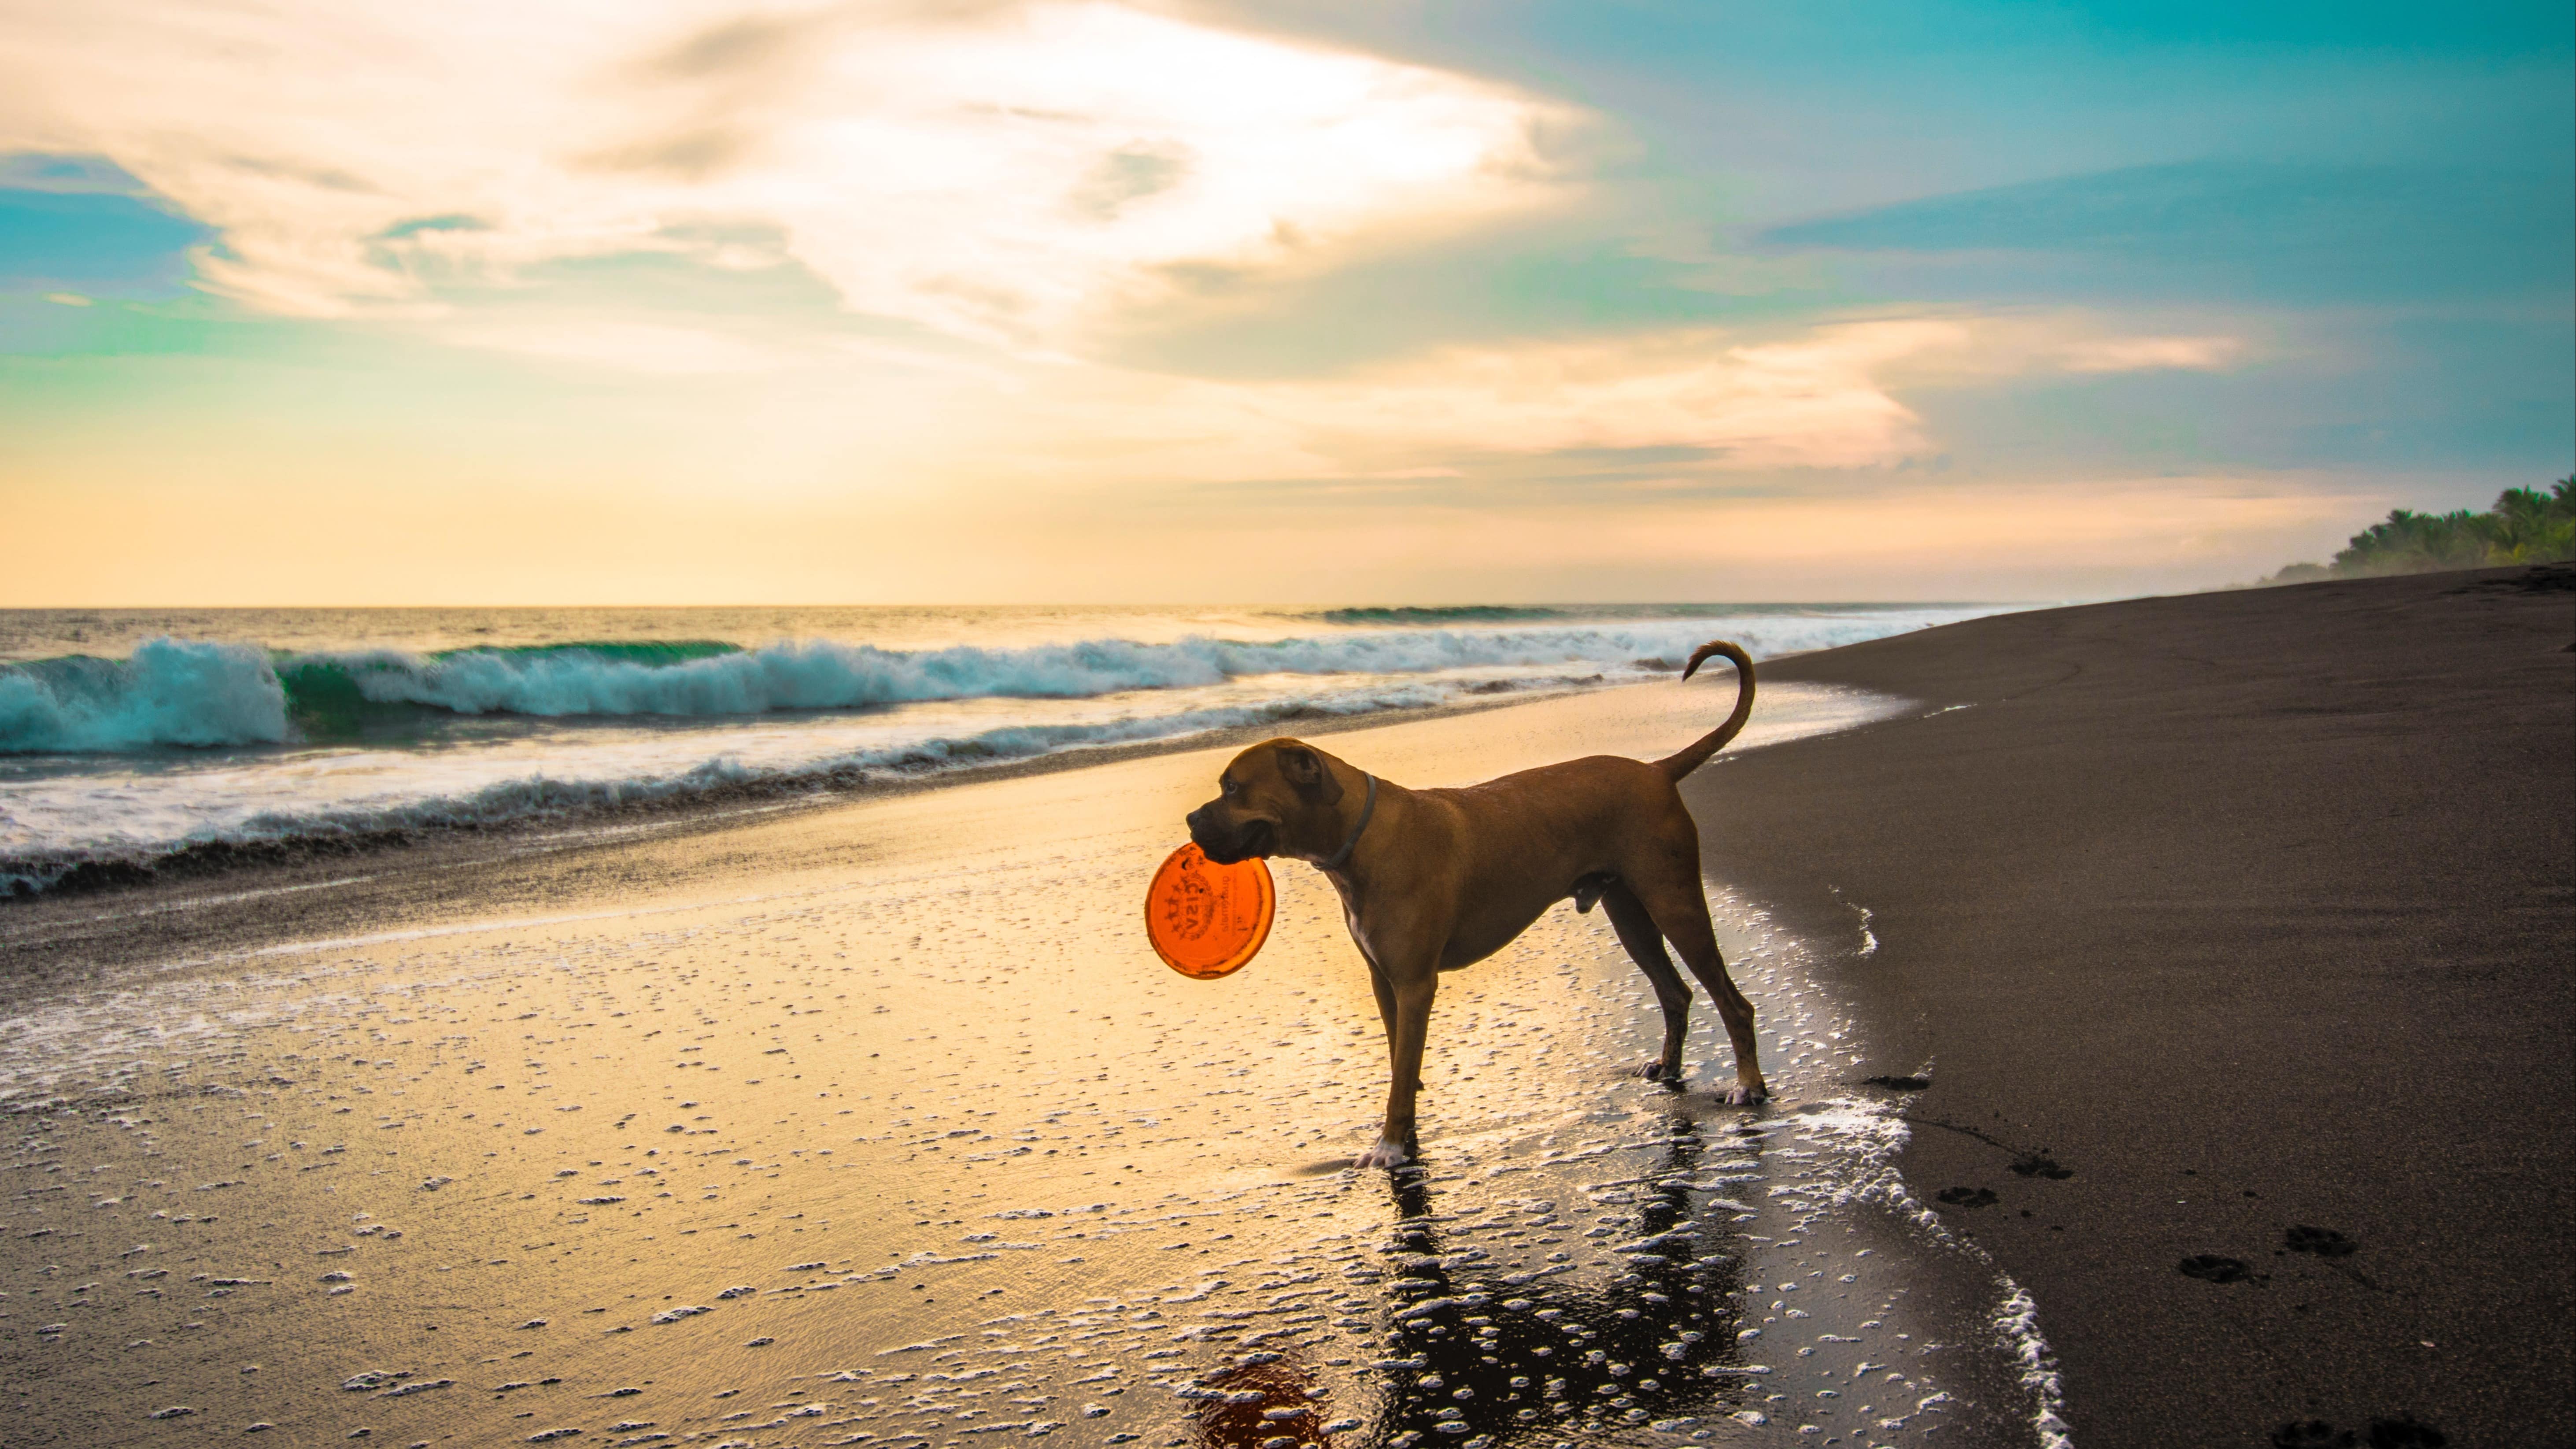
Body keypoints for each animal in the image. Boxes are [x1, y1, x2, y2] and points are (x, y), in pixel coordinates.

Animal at [1190, 636, 1772, 1165]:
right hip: (1631, 915)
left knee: (1732, 1002)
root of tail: (1656, 769)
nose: (1191, 820)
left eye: (1232, 787)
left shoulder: (1414, 985)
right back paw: (1668, 1066)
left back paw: (1748, 1085)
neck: (1360, 835)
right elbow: (1401, 1063)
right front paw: (1406, 1132)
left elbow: (1402, 1073)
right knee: (1675, 992)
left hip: (1675, 903)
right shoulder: (1384, 983)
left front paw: (1391, 1144)